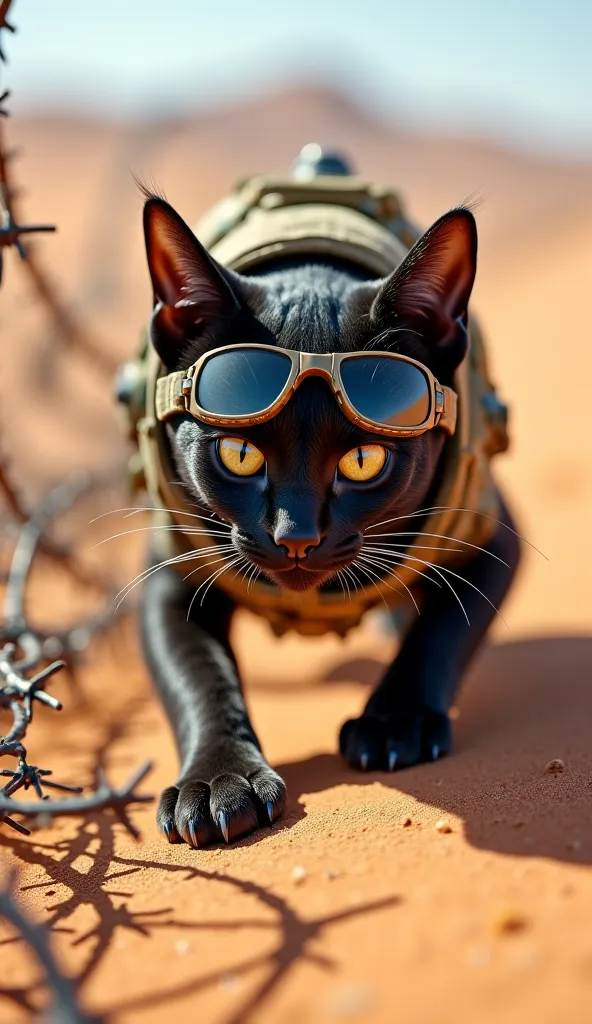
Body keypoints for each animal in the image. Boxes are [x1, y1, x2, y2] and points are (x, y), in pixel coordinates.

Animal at [136, 184, 518, 847]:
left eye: (363, 460)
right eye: (240, 454)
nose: (297, 535)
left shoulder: (489, 535)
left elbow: (441, 631)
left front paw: (395, 723)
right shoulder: (170, 566)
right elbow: (198, 673)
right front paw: (218, 781)